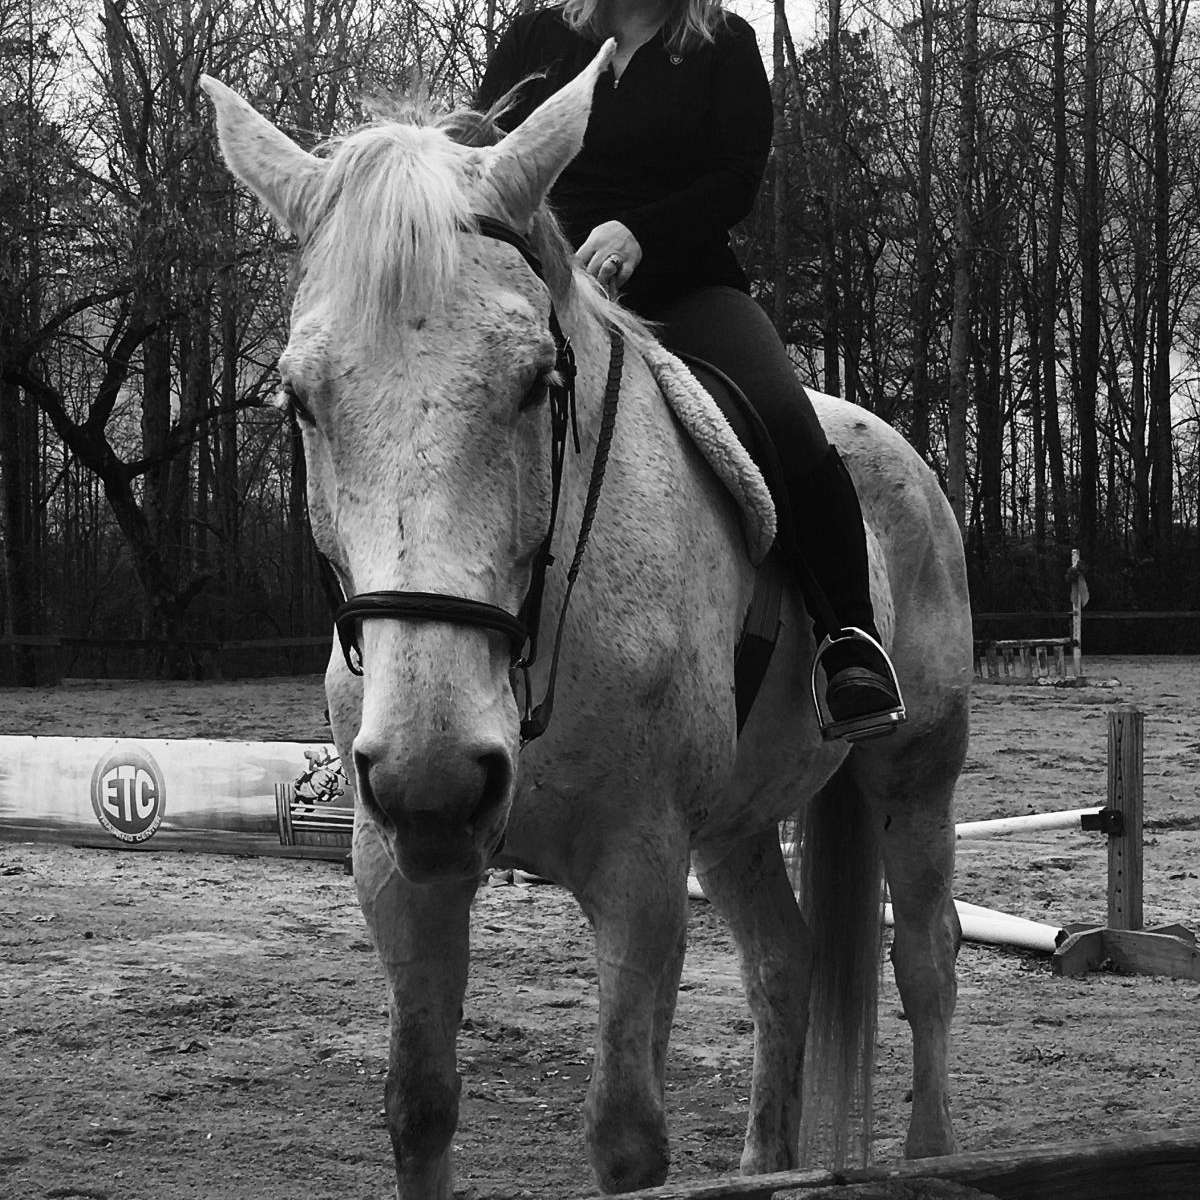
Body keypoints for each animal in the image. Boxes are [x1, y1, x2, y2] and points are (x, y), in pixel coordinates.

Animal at [204, 39, 974, 1200]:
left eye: (537, 381)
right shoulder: (398, 866)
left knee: (925, 962)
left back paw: (934, 1151)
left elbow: (625, 1133)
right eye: (300, 399)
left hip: (913, 779)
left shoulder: (639, 863)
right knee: (783, 963)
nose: (437, 775)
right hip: (736, 827)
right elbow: (418, 1107)